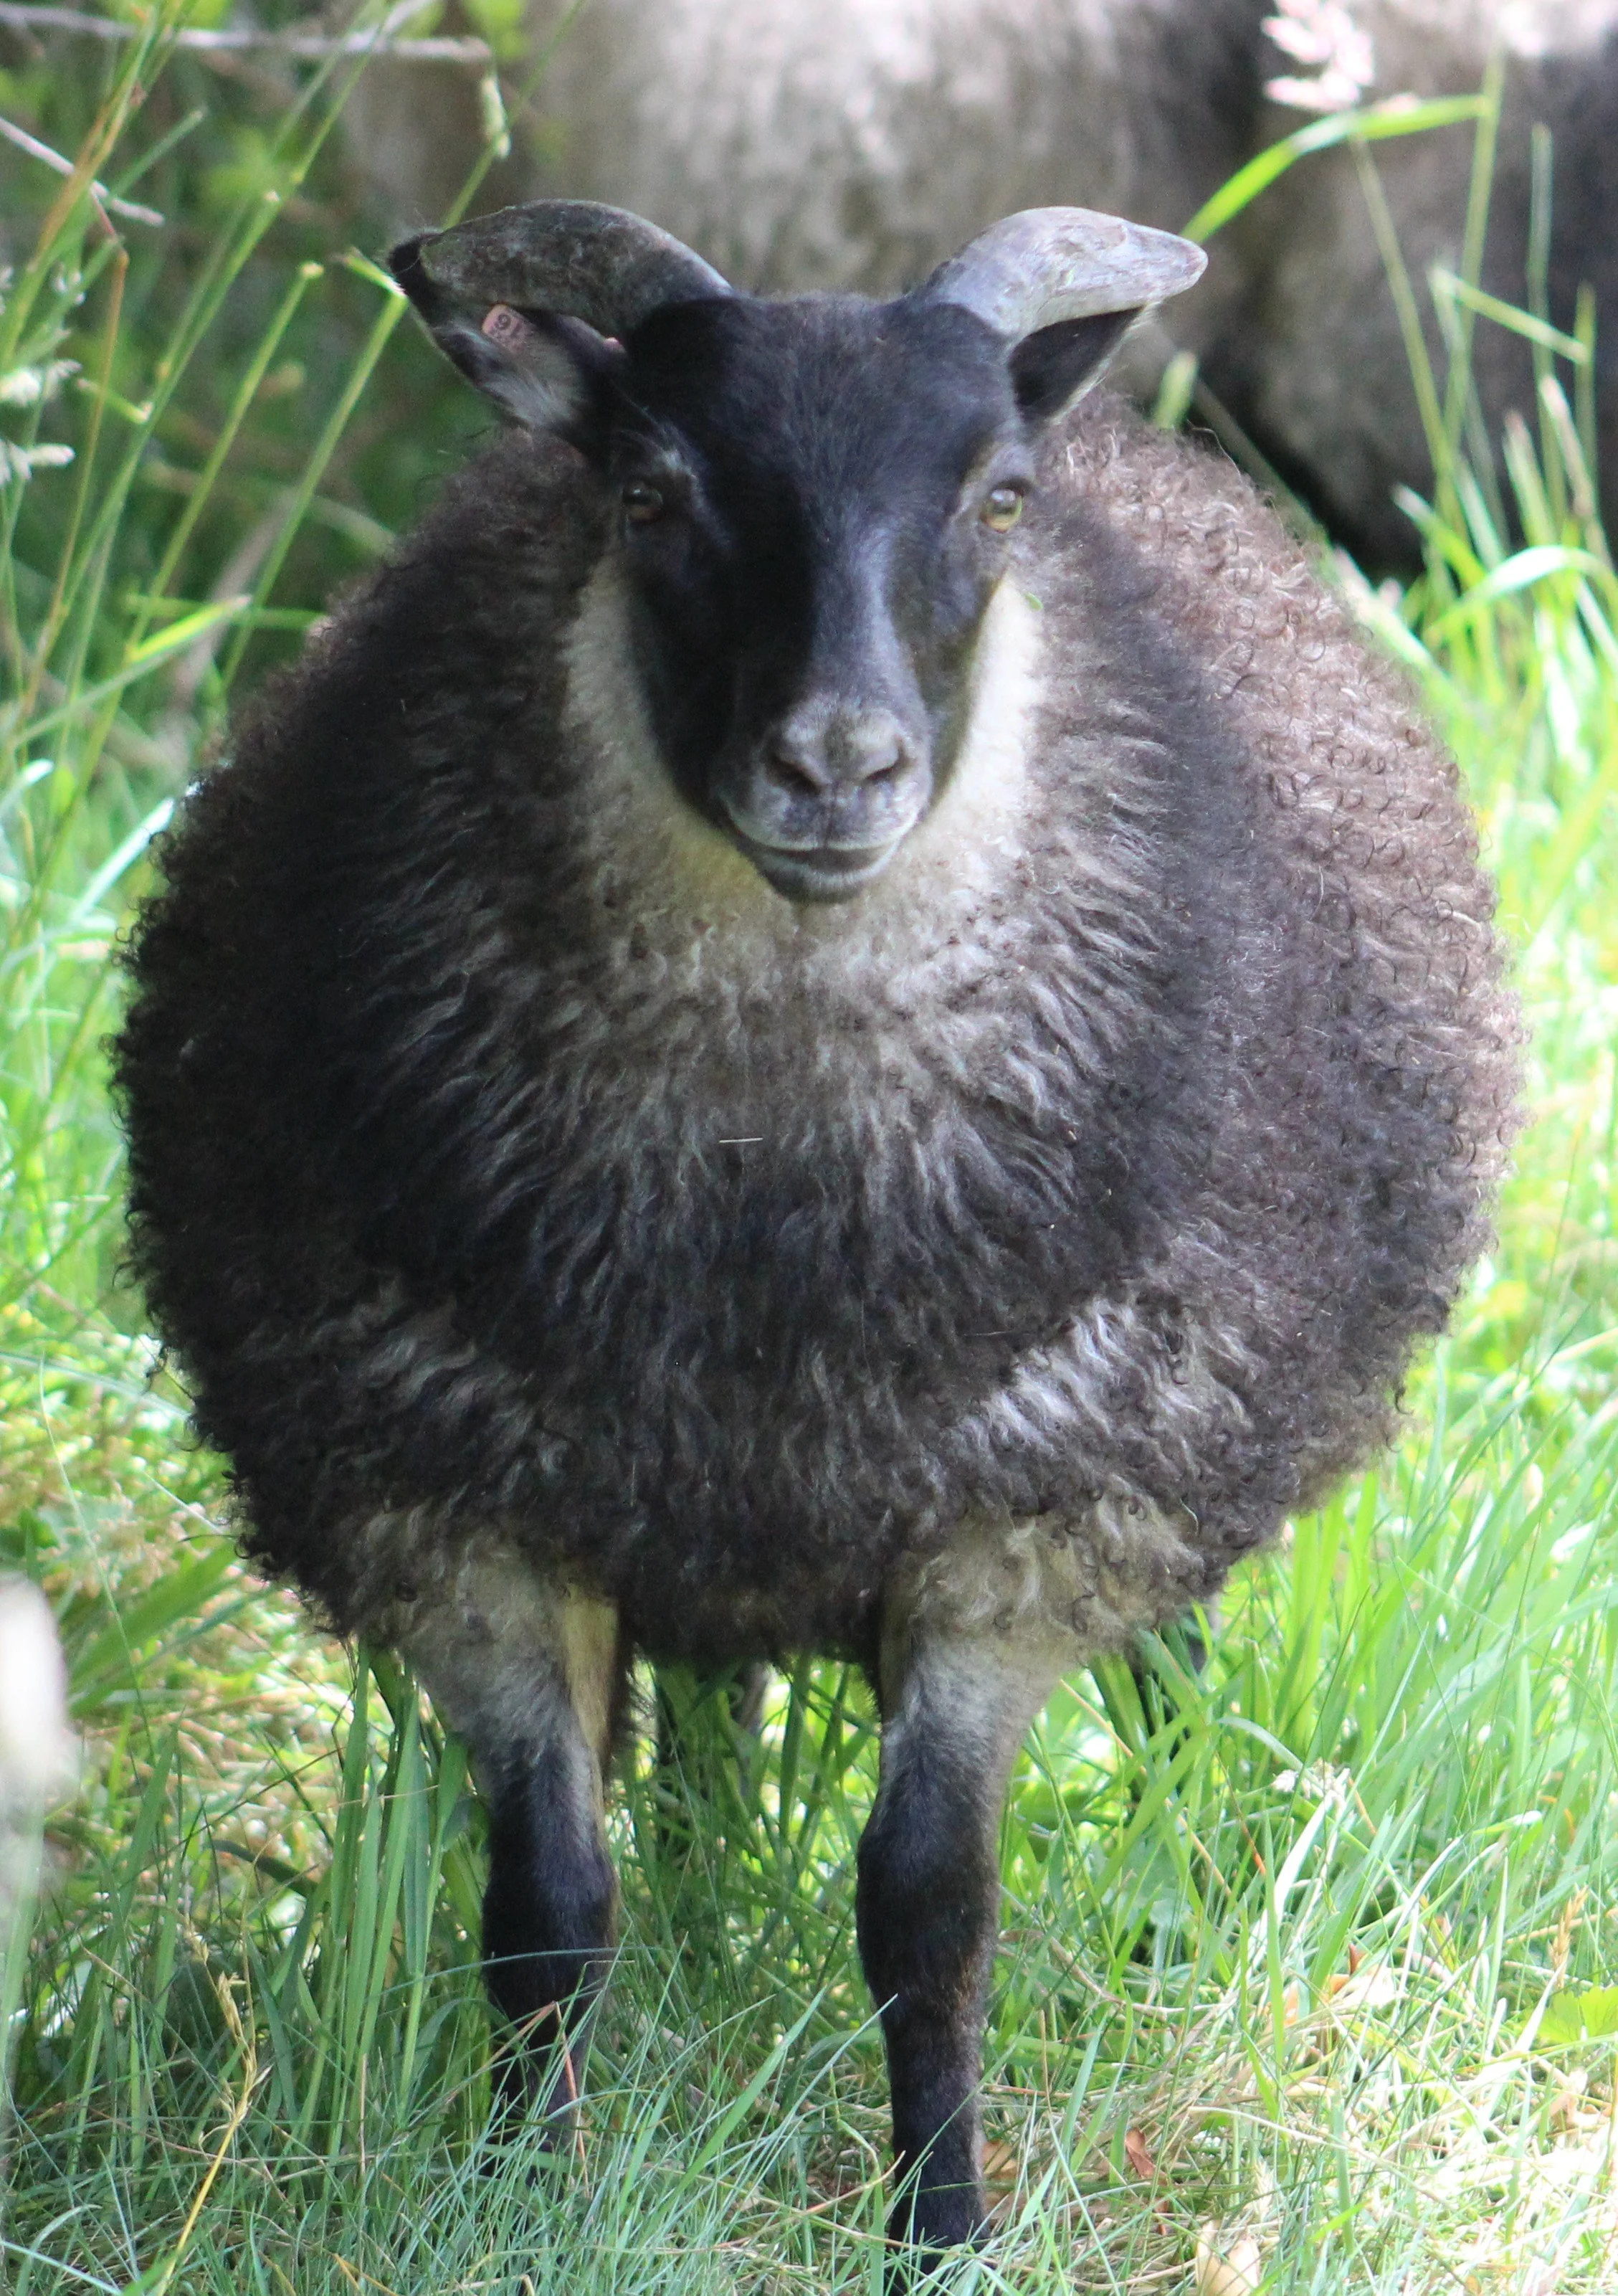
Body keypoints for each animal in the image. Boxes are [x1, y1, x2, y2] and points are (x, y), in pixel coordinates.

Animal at [115, 195, 1518, 2258]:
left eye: (1000, 497)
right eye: (647, 491)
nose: (836, 766)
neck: (765, 1246)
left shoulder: (1018, 1525)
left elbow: (924, 1906)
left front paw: (941, 2221)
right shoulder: (466, 1510)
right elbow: (545, 1905)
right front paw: (525, 2197)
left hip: (1159, 1429)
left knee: (1167, 1672)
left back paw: (1188, 1872)